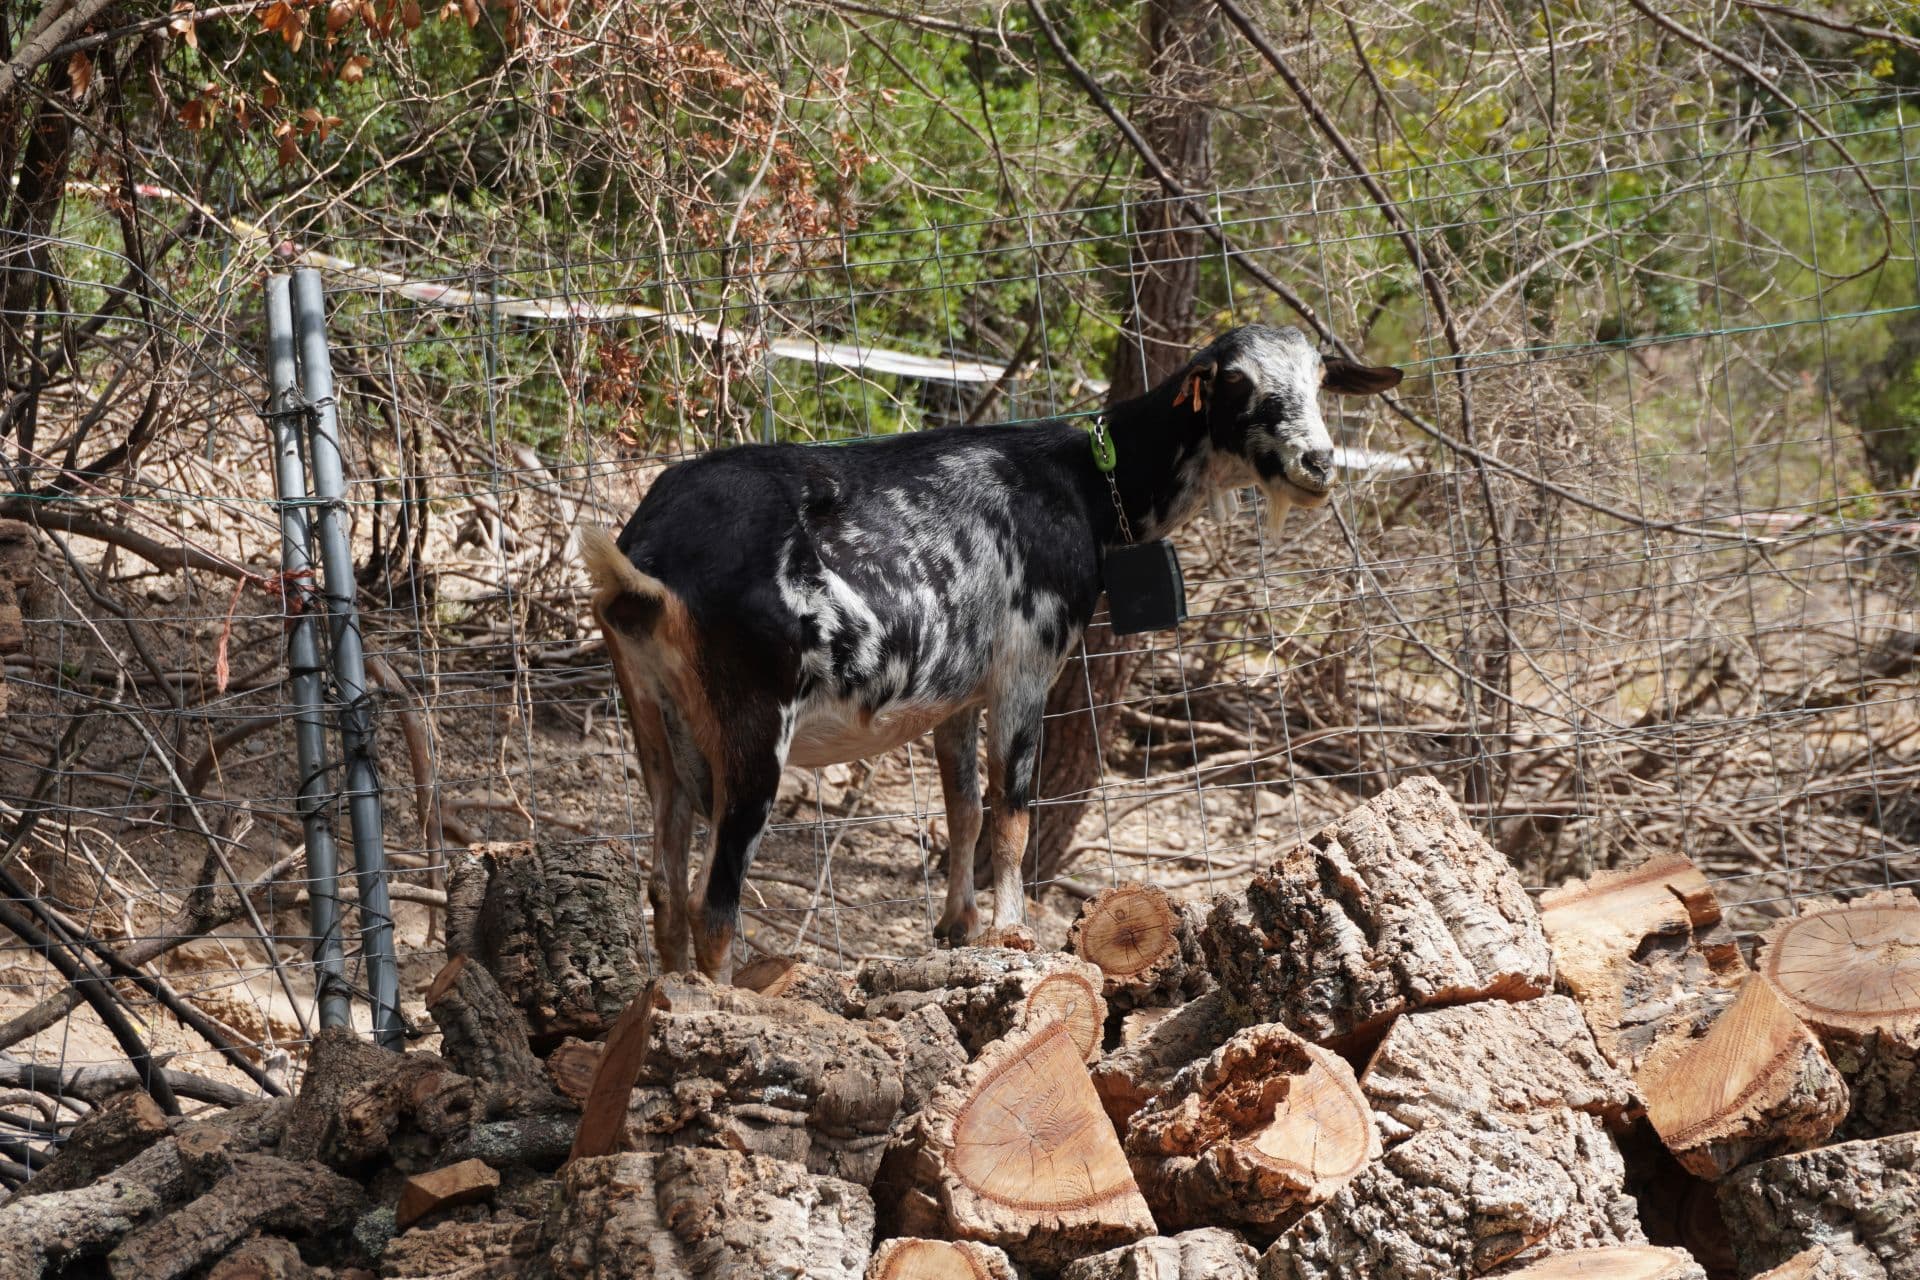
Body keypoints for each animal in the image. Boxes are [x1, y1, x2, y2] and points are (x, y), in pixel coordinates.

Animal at [580, 323, 1401, 980]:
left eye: (1320, 379)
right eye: (1236, 382)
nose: (1318, 463)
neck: (1085, 483)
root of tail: (649, 559)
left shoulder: (953, 696)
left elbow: (964, 810)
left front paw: (956, 928)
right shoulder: (1025, 668)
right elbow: (1012, 812)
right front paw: (1013, 934)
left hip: (654, 717)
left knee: (665, 888)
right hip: (754, 723)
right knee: (713, 903)